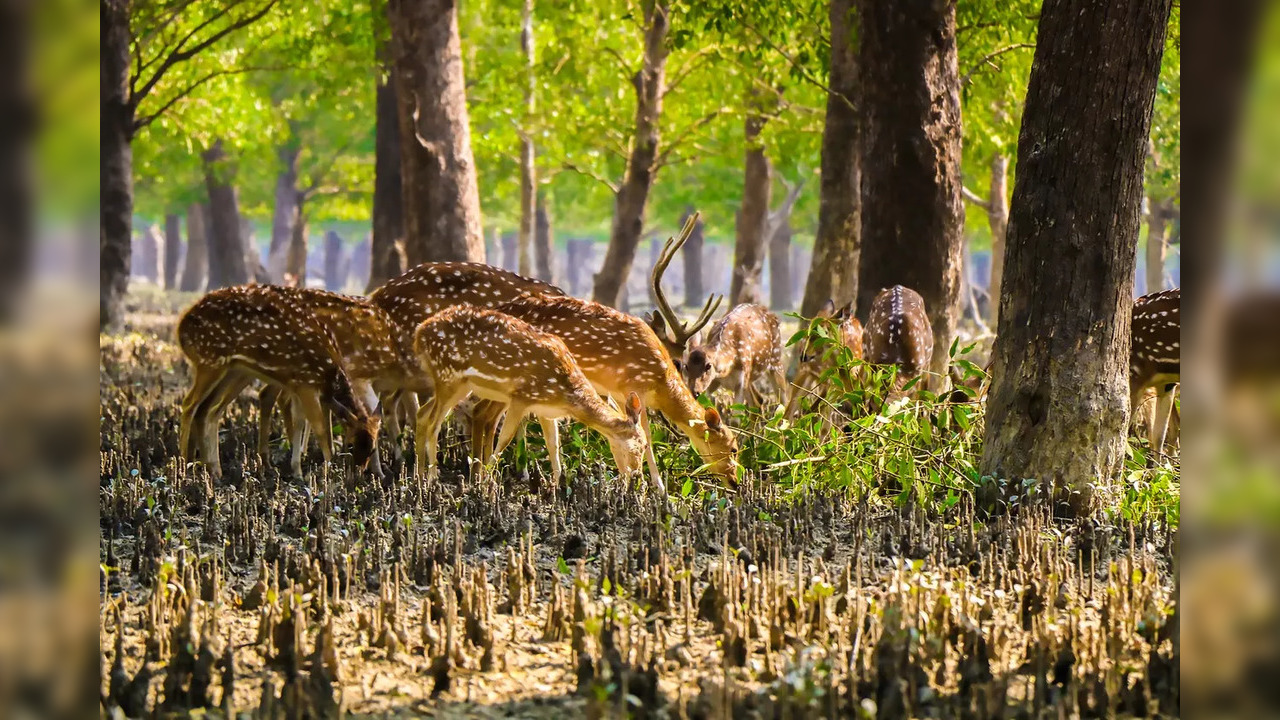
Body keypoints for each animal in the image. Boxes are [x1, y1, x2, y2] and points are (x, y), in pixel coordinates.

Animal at [177, 283, 381, 479]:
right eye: (350, 445)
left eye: (372, 449)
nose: (357, 474)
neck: (328, 373)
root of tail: (181, 327)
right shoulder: (306, 382)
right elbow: (320, 427)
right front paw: (329, 468)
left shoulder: (297, 385)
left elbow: (299, 422)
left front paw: (298, 470)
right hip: (209, 360)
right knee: (189, 404)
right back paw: (185, 467)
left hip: (231, 369)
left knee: (209, 410)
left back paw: (213, 470)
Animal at [412, 304, 650, 484]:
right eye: (642, 445)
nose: (637, 475)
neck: (566, 394)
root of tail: (419, 333)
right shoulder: (521, 397)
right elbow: (505, 438)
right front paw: (487, 481)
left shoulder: (545, 409)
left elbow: (553, 445)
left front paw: (557, 486)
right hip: (448, 375)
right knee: (433, 423)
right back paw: (433, 477)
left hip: (457, 384)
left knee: (422, 414)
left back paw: (419, 476)